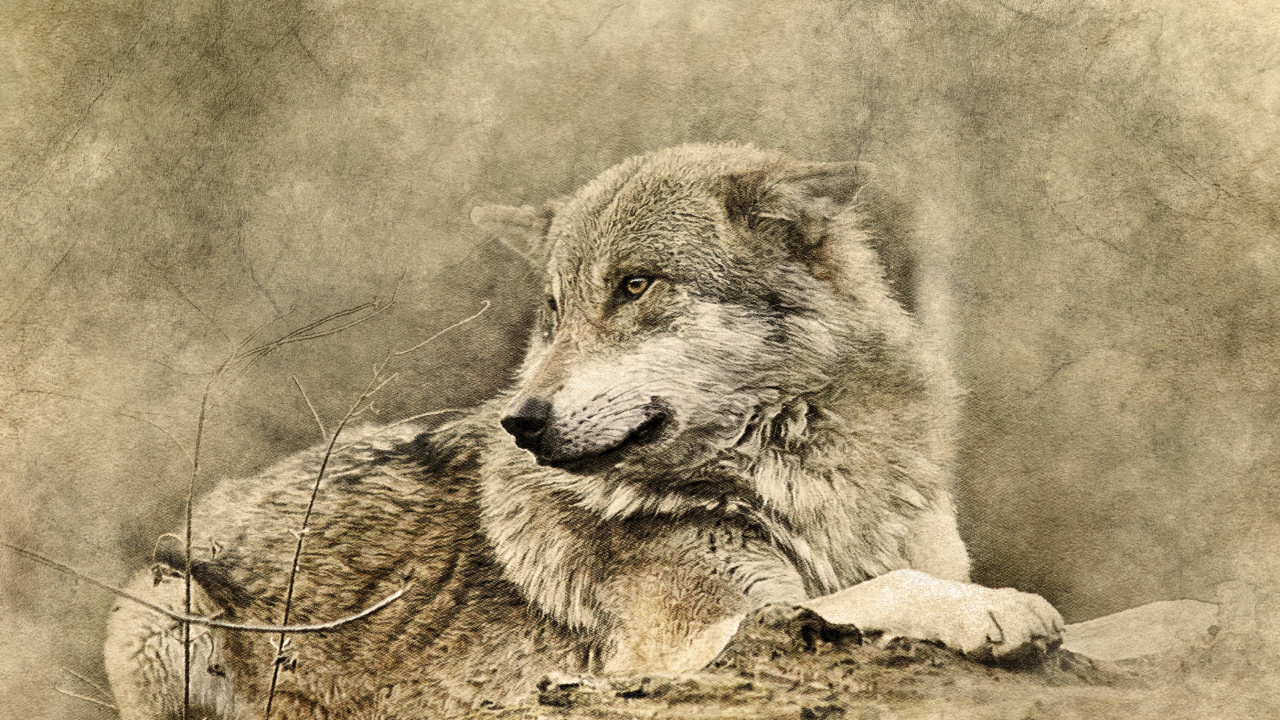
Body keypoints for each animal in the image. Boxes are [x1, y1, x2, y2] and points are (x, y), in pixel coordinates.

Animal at [104, 143, 1063, 719]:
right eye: (555, 311)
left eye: (635, 286)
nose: (520, 420)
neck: (801, 474)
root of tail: (202, 509)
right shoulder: (695, 640)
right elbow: (883, 590)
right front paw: (998, 609)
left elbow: (895, 577)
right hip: (164, 607)